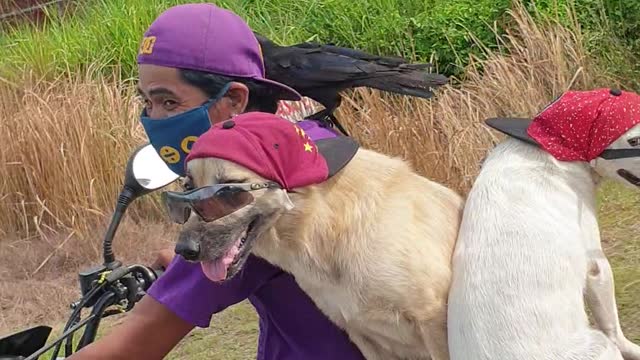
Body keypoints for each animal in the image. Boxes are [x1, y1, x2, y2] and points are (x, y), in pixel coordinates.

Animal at [164, 113, 464, 360]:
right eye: (188, 188)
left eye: (229, 191)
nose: (184, 250)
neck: (326, 227)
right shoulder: (362, 335)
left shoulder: (433, 321)